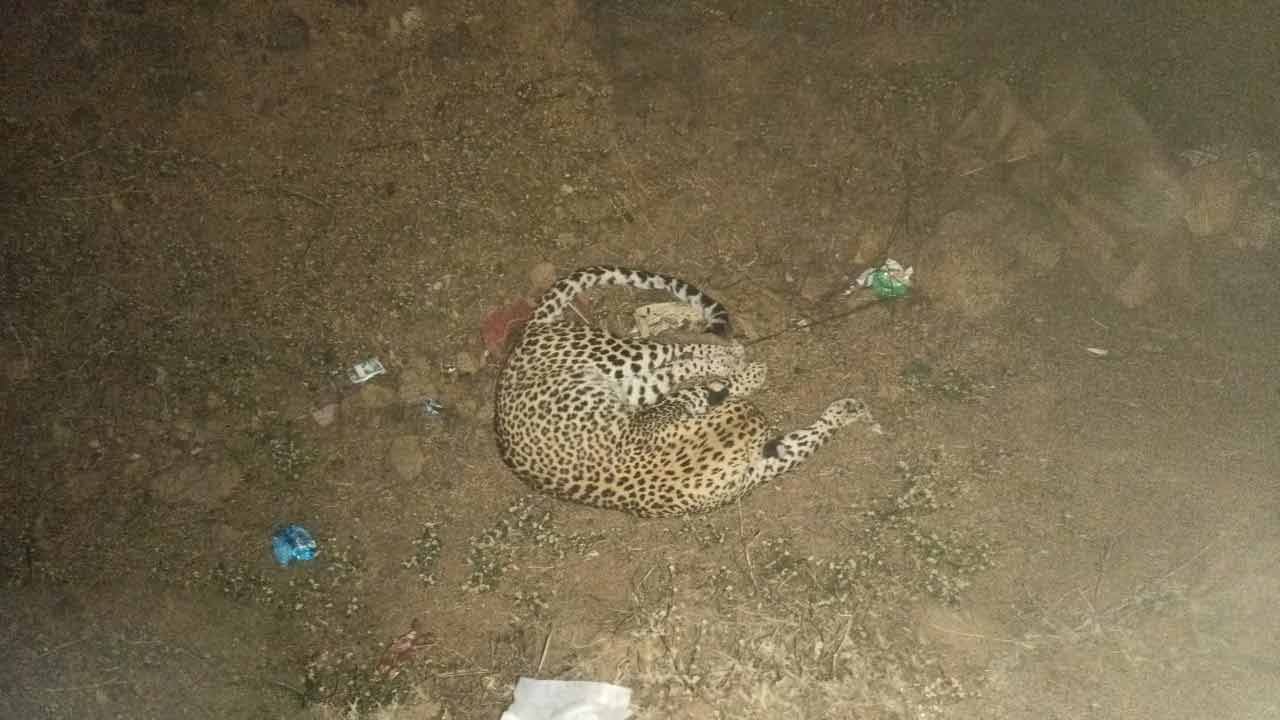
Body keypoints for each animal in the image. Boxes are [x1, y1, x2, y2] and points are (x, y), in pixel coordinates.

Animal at [494, 265, 875, 518]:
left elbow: (806, 439)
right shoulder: (654, 420)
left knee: (675, 360)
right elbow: (699, 393)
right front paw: (746, 378)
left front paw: (843, 412)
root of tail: (527, 334)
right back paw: (730, 355)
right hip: (617, 359)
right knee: (676, 351)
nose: (761, 416)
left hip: (635, 385)